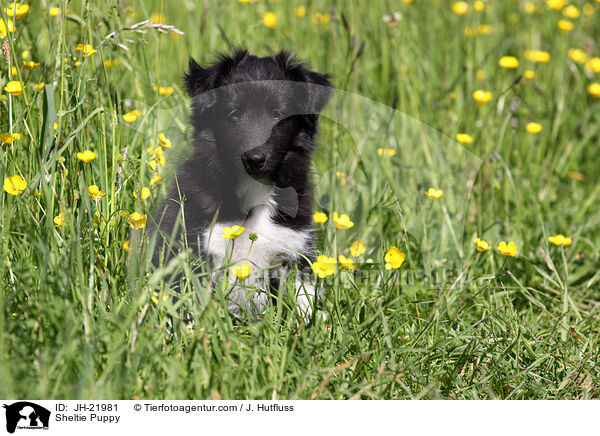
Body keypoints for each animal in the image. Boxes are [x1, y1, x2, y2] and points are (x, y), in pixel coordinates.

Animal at [151, 49, 332, 320]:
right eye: (234, 113)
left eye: (277, 113)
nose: (254, 158)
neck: (254, 188)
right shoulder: (197, 245)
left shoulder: (293, 247)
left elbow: (303, 298)